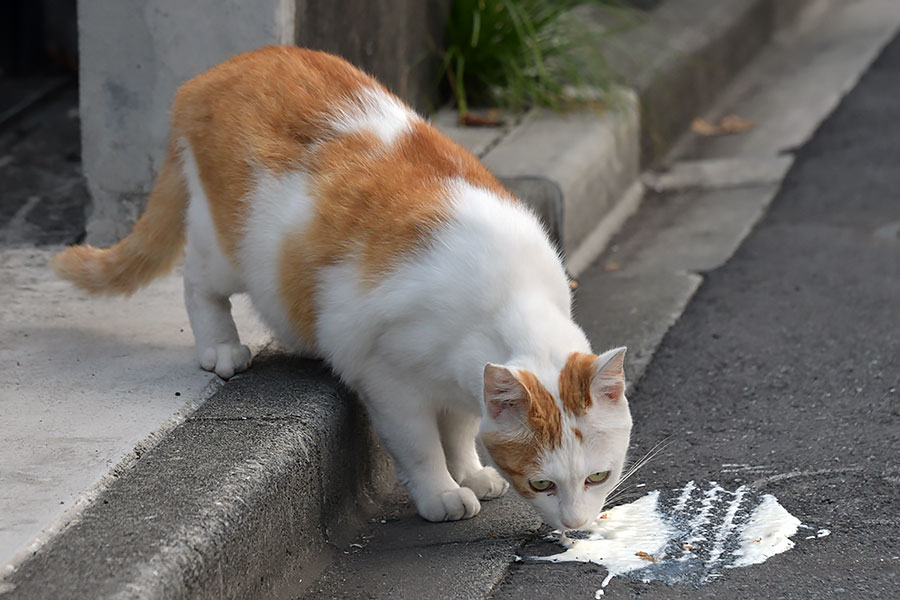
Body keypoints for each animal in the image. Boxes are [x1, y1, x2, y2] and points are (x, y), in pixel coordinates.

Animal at [52, 49, 632, 532]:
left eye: (597, 477)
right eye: (542, 483)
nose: (578, 525)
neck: (509, 299)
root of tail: (213, 74)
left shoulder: (462, 378)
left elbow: (461, 427)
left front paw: (469, 471)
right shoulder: (389, 377)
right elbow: (421, 444)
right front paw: (442, 492)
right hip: (228, 247)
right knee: (197, 281)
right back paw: (220, 346)